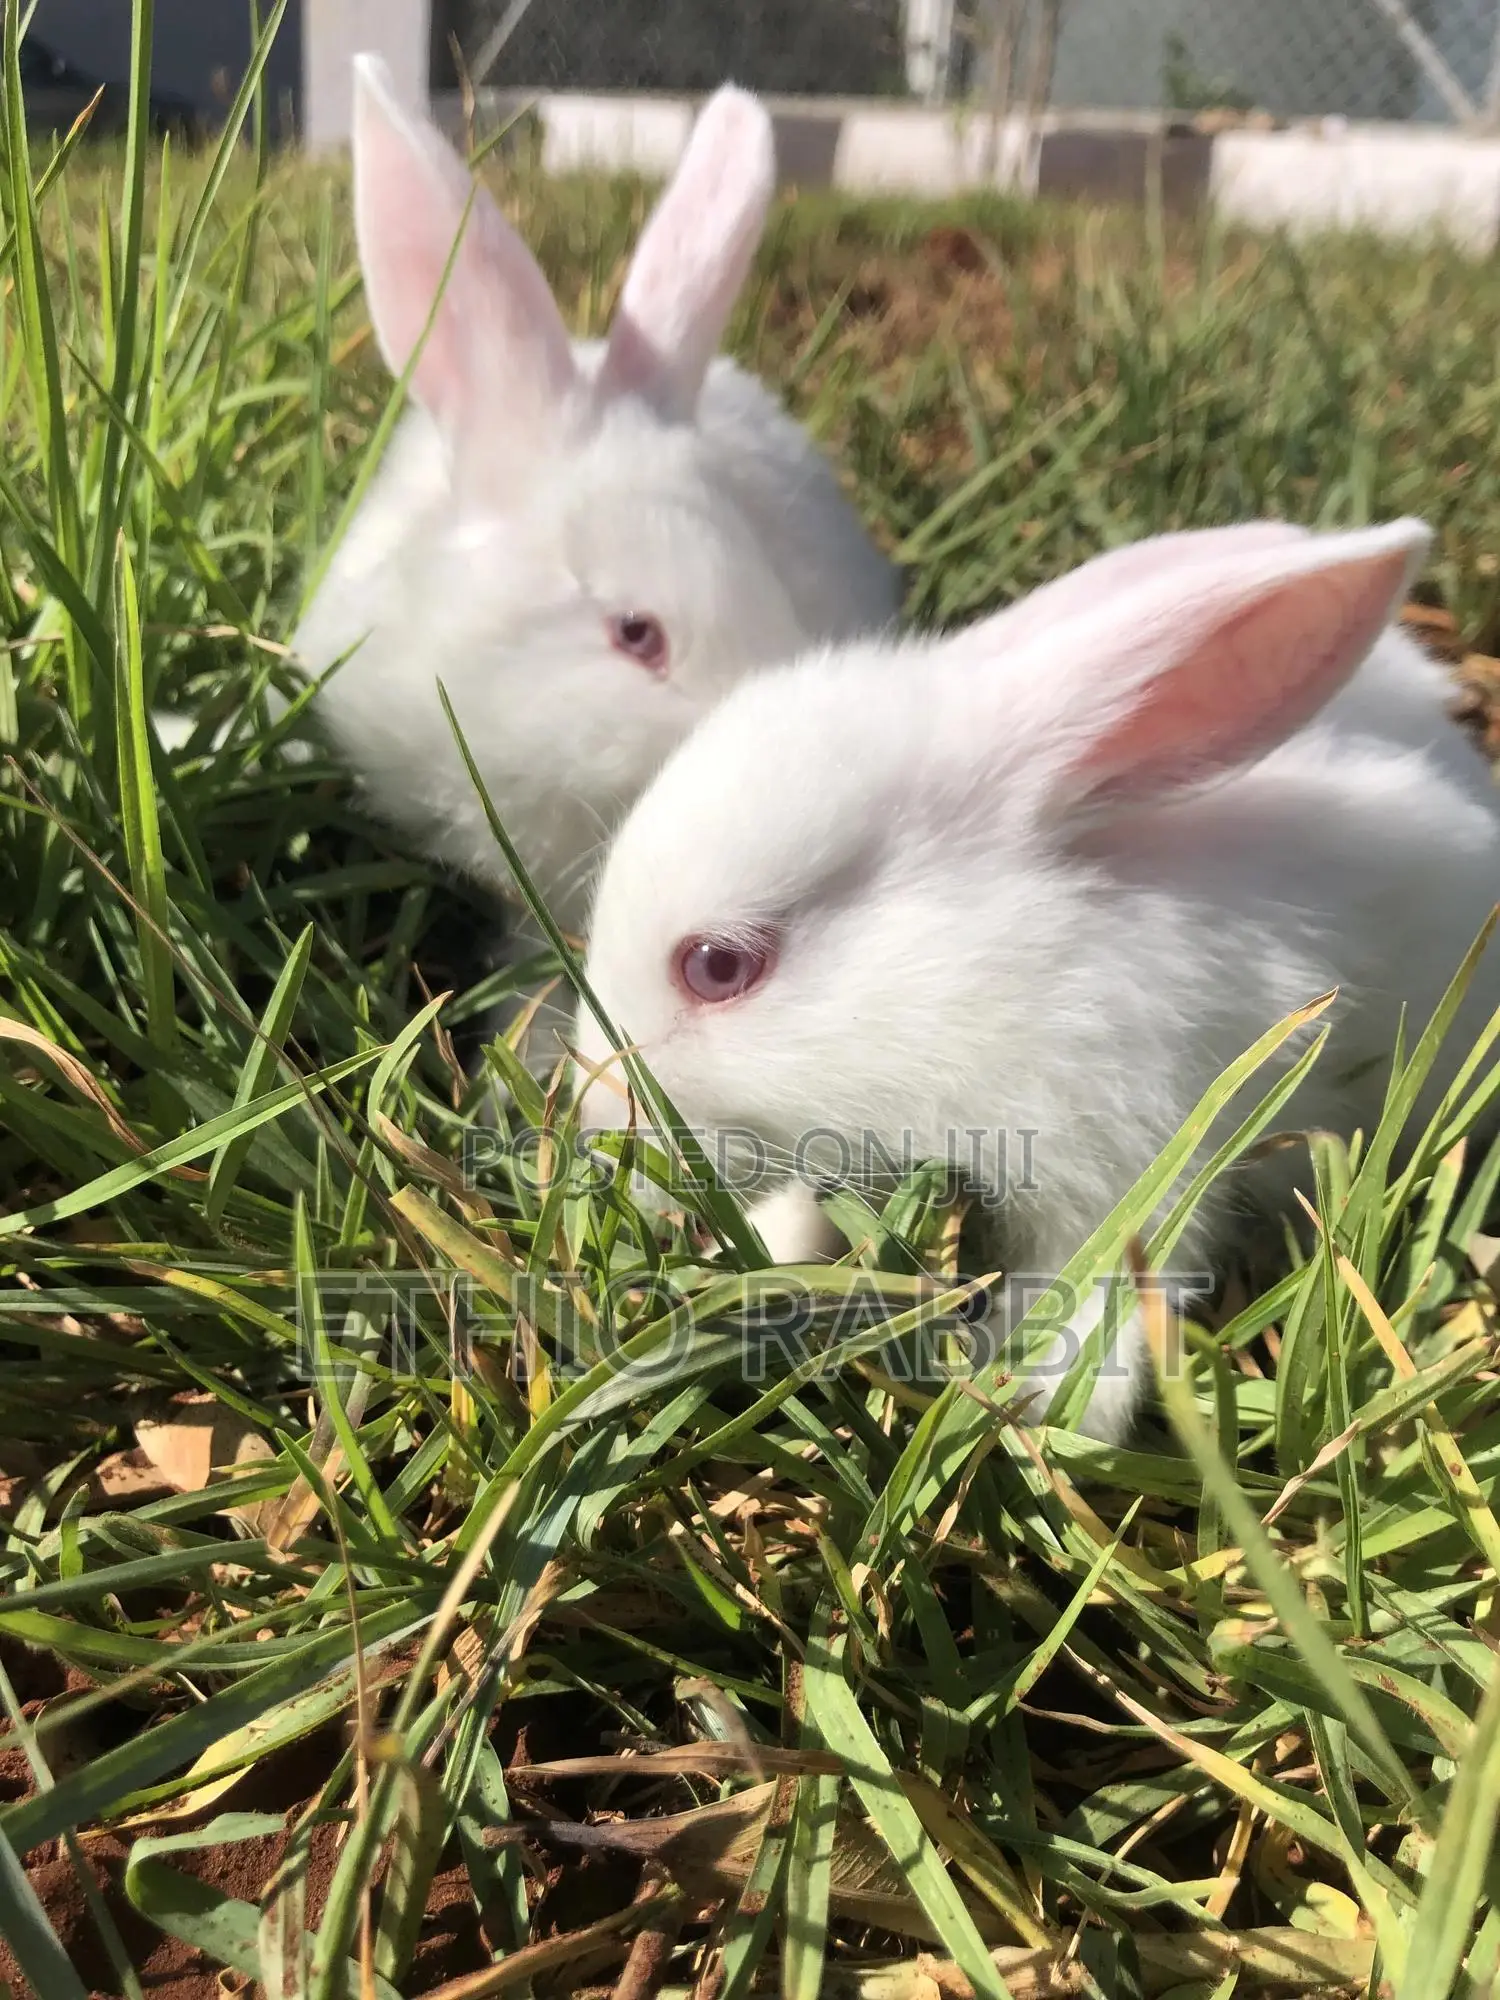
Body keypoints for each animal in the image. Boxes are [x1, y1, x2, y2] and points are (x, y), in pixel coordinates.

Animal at [571, 518, 1500, 1444]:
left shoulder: (1139, 1155)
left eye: (718, 965)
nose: (597, 1120)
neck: (1004, 958)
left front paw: (1037, 1405)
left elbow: (1107, 1290)